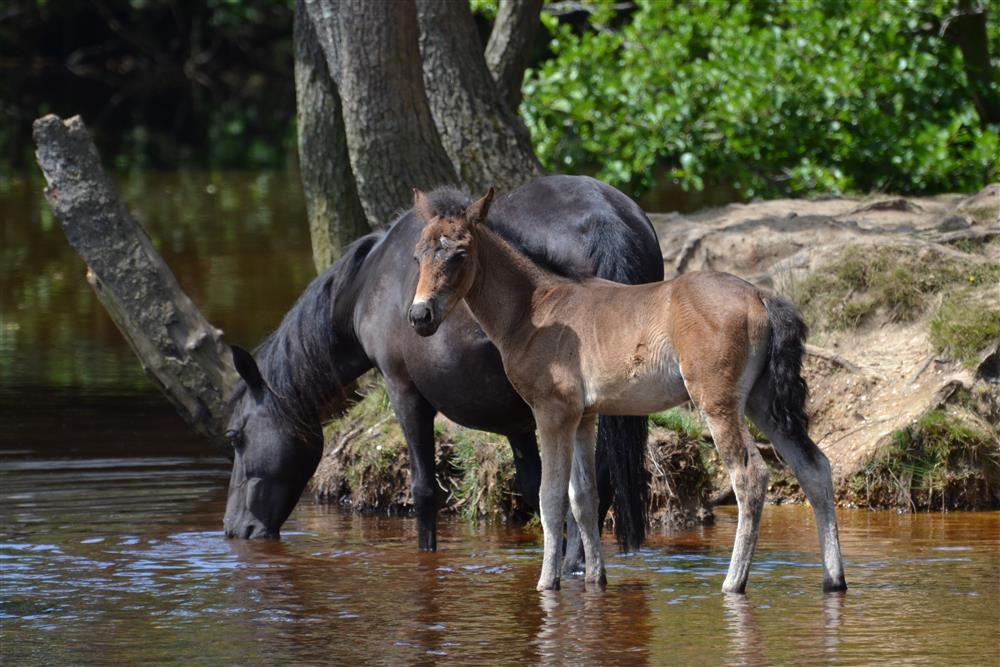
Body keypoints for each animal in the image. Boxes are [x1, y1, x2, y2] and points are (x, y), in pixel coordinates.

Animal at [222, 175, 665, 566]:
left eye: (234, 437)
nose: (233, 528)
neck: (368, 284)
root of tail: (604, 217)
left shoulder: (403, 390)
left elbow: (424, 490)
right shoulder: (516, 419)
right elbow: (531, 485)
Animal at [408, 186, 847, 594]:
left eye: (459, 254)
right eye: (417, 256)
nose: (419, 315)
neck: (534, 311)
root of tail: (761, 296)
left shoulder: (551, 412)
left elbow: (551, 498)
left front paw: (547, 582)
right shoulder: (583, 416)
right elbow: (583, 498)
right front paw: (594, 579)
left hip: (718, 401)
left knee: (750, 476)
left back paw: (733, 583)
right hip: (763, 402)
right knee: (815, 467)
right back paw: (834, 580)